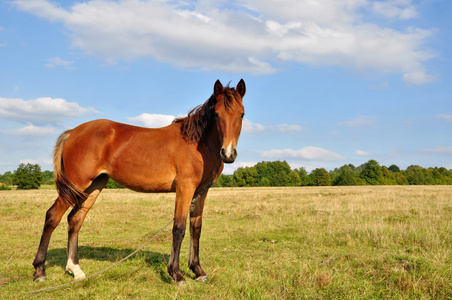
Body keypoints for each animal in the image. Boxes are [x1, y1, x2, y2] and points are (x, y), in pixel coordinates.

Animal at [31, 78, 245, 284]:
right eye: (216, 114)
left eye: (242, 114)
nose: (228, 154)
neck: (197, 143)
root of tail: (73, 132)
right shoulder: (185, 188)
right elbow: (179, 228)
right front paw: (176, 274)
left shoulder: (201, 191)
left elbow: (196, 229)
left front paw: (198, 271)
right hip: (76, 184)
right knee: (52, 216)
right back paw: (40, 271)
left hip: (94, 186)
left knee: (75, 220)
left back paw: (75, 269)